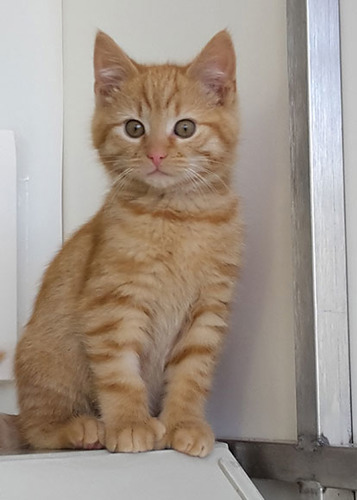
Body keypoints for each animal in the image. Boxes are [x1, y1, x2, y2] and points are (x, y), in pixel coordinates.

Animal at [9, 28, 242, 458]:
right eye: (134, 128)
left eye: (185, 128)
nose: (156, 154)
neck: (176, 217)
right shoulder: (111, 304)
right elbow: (119, 372)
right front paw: (131, 423)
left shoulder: (208, 310)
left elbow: (192, 372)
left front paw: (183, 423)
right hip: (48, 359)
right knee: (34, 428)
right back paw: (81, 428)